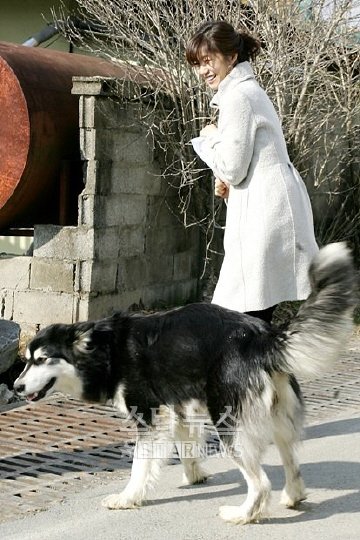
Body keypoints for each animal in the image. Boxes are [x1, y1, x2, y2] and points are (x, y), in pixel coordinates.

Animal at [14, 244, 354, 524]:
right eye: (26, 360)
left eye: (42, 360)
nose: (15, 387)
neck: (107, 350)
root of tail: (261, 336)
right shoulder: (177, 410)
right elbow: (186, 447)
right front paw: (195, 477)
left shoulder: (149, 416)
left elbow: (140, 465)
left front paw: (127, 498)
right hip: (279, 418)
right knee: (291, 462)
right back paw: (292, 496)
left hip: (230, 425)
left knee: (261, 484)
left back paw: (242, 515)